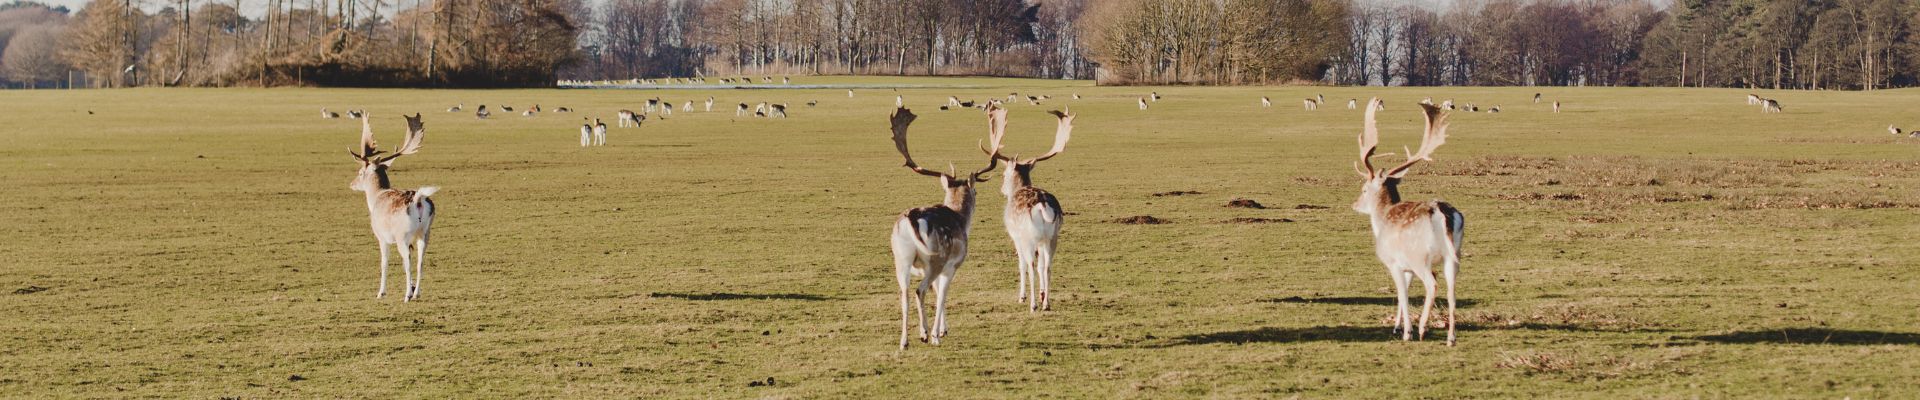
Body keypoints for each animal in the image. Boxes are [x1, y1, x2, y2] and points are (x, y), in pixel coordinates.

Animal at [345, 112, 439, 300]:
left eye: (360, 172)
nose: (352, 184)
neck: (375, 197)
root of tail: (418, 200)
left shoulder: (381, 236)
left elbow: (384, 263)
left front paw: (380, 292)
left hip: (402, 235)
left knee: (408, 262)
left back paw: (407, 296)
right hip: (425, 232)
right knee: (421, 261)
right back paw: (416, 293)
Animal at [887, 107, 1006, 348]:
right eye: (975, 191)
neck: (960, 218)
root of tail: (912, 219)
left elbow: (937, 293)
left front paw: (941, 329)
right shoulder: (952, 266)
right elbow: (942, 295)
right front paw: (937, 333)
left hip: (901, 258)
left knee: (904, 293)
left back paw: (904, 341)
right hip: (937, 258)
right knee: (919, 290)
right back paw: (925, 335)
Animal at [983, 104, 1075, 311]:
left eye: (1004, 174)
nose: (1002, 189)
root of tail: (1041, 205)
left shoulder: (1015, 237)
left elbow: (1022, 265)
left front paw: (1023, 297)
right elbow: (1042, 267)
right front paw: (1041, 295)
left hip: (1029, 237)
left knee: (1031, 266)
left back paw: (1033, 305)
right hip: (1052, 237)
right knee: (1047, 266)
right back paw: (1046, 303)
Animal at [1359, 98, 1459, 346]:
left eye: (1364, 189)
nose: (1355, 204)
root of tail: (1440, 212)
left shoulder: (1393, 262)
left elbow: (1402, 294)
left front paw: (1406, 332)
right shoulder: (1407, 269)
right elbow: (1402, 292)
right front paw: (1396, 326)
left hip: (1419, 256)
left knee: (1433, 284)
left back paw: (1422, 328)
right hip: (1453, 255)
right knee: (1452, 290)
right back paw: (1451, 337)